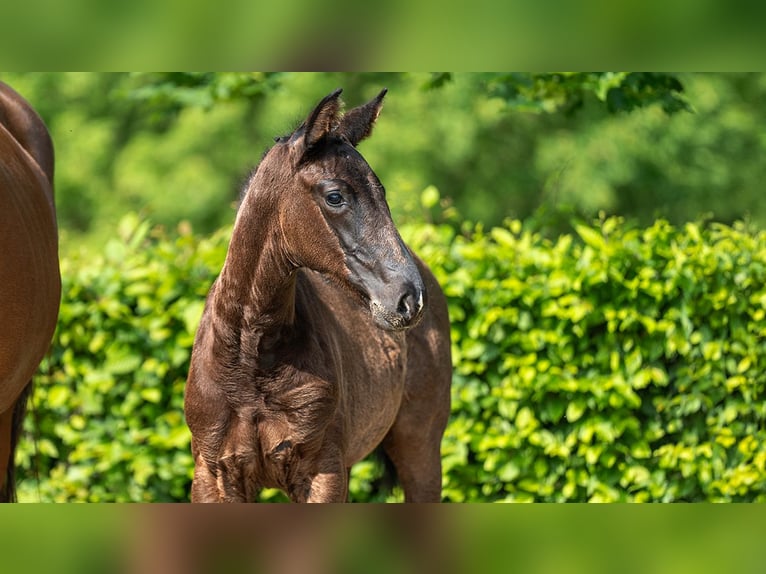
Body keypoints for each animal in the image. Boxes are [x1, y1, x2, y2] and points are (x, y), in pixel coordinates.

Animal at [184, 89, 450, 504]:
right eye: (335, 196)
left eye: (382, 192)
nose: (409, 298)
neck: (250, 358)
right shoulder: (213, 476)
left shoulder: (322, 472)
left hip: (419, 449)